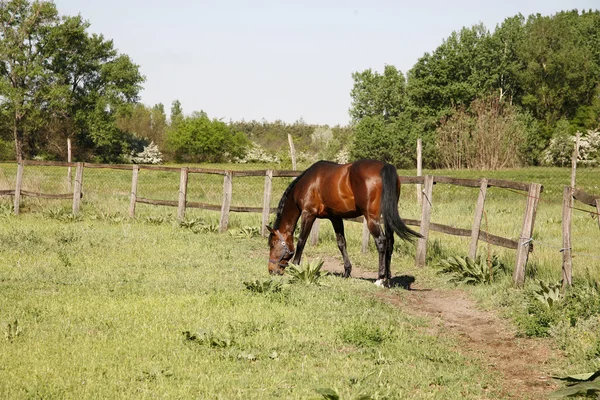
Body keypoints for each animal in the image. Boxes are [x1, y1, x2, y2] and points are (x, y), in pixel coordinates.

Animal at [268, 159, 422, 284]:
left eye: (272, 244)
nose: (271, 270)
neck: (308, 183)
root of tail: (385, 166)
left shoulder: (308, 214)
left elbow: (301, 241)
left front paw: (295, 267)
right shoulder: (335, 217)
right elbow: (341, 243)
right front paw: (347, 272)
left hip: (371, 218)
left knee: (381, 241)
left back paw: (379, 278)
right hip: (387, 215)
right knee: (390, 242)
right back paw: (388, 279)